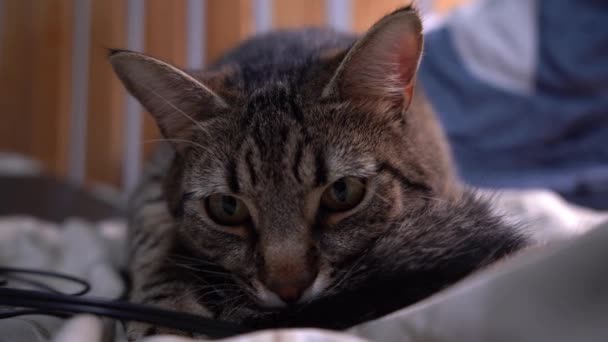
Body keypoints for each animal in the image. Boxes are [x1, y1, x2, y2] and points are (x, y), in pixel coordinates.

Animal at [109, 5, 528, 340]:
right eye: (227, 207)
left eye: (342, 193)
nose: (288, 288)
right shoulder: (149, 189)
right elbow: (154, 243)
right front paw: (165, 313)